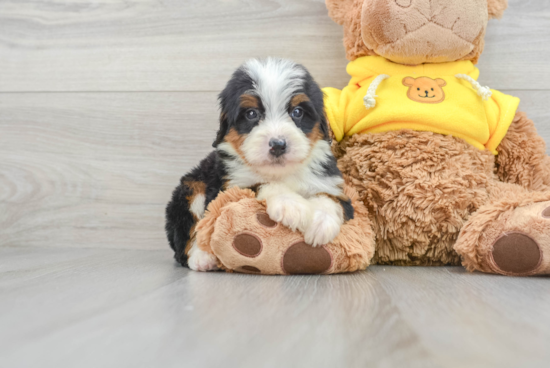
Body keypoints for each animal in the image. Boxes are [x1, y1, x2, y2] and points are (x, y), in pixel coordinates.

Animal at [165, 57, 354, 270]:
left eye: (297, 112)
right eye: (251, 114)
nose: (278, 145)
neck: (282, 173)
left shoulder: (333, 185)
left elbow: (330, 198)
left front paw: (320, 221)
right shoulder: (229, 188)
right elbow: (262, 184)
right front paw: (291, 205)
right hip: (191, 187)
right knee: (186, 235)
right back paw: (202, 258)